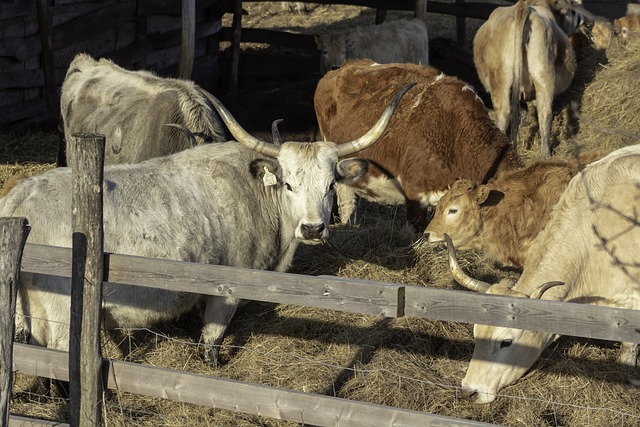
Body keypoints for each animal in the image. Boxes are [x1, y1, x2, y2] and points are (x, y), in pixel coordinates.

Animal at [476, 0, 592, 156]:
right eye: (573, 10)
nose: (588, 24)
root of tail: (523, 7)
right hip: (542, 73)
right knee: (543, 111)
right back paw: (545, 153)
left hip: (503, 78)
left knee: (505, 113)